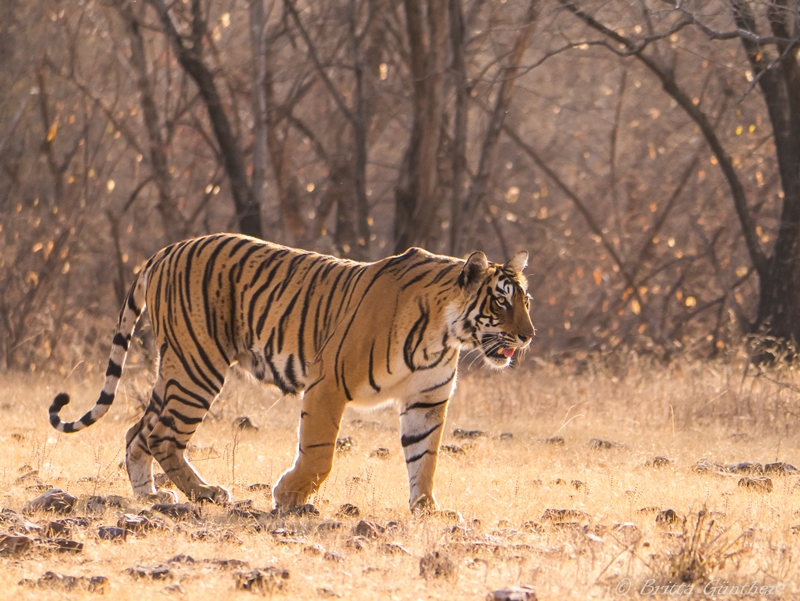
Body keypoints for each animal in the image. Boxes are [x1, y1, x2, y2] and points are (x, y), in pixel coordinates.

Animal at [50, 234, 536, 510]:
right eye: (501, 301)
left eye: (526, 300)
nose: (529, 336)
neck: (444, 333)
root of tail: (166, 249)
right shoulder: (329, 383)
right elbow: (320, 454)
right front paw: (288, 496)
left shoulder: (426, 399)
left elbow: (425, 457)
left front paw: (427, 509)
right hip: (197, 366)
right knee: (162, 435)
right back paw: (206, 494)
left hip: (175, 368)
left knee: (139, 431)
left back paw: (151, 495)